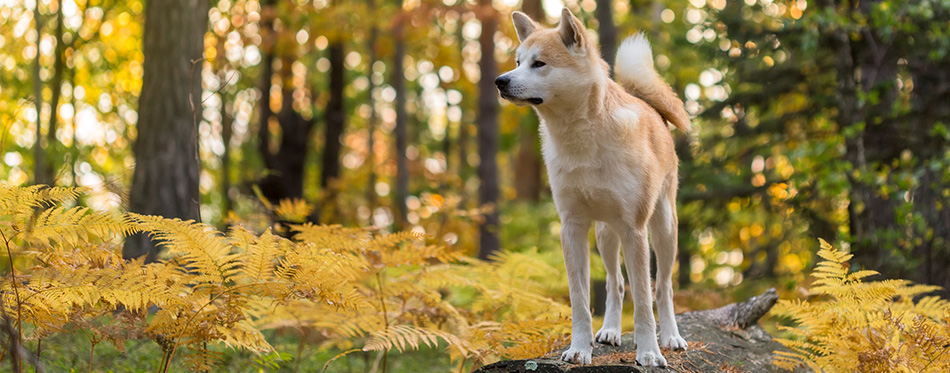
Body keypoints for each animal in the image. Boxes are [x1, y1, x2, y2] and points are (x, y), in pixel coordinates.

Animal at [498, 7, 692, 364]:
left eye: (539, 63)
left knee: (663, 288)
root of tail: (652, 109)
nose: (500, 81)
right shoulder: (572, 227)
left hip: (663, 229)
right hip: (605, 235)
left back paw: (671, 337)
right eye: (517, 62)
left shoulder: (634, 230)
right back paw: (611, 331)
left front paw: (648, 352)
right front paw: (579, 348)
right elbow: (580, 300)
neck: (582, 141)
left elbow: (644, 301)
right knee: (616, 285)